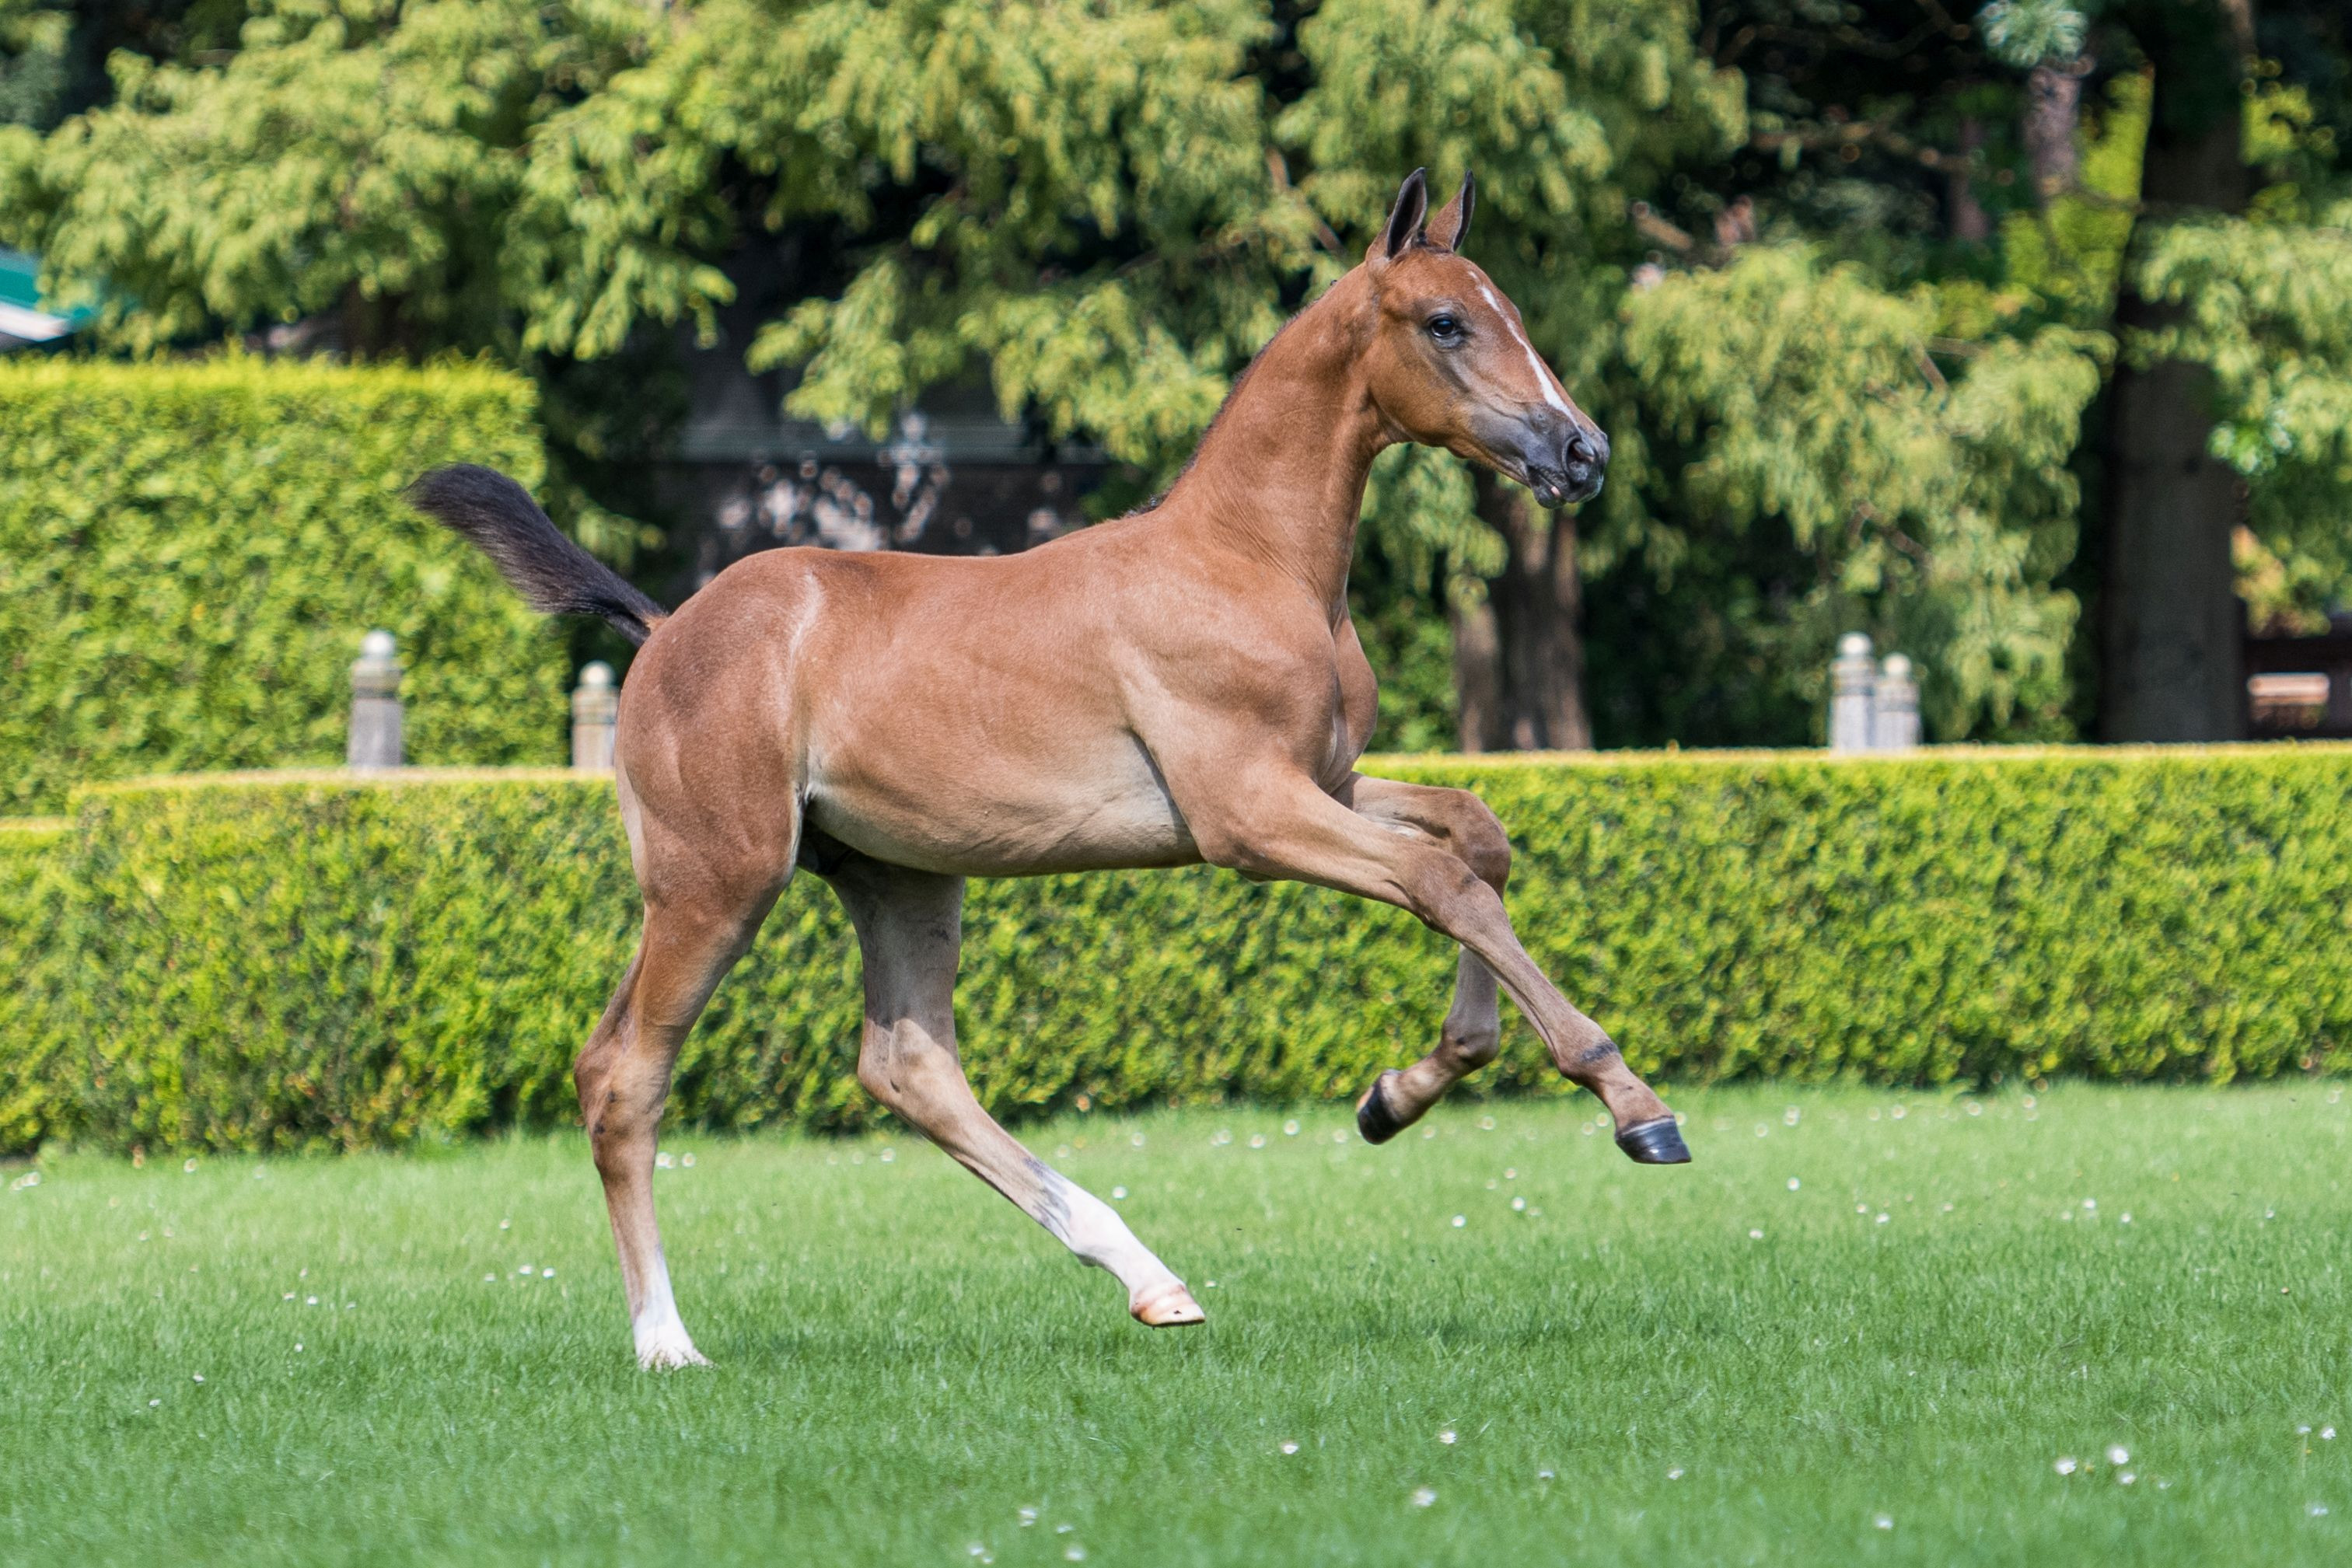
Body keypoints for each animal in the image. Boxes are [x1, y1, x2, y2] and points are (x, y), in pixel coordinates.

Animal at [409, 168, 1690, 1370]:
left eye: (1503, 309)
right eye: (1446, 322)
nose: (1580, 451)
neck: (1249, 560)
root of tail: (664, 624)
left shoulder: (1320, 785)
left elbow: (1476, 834)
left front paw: (1399, 1094)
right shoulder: (1247, 818)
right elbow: (1445, 884)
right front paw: (1633, 1106)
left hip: (898, 878)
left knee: (908, 1068)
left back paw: (1148, 1275)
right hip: (717, 880)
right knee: (624, 1074)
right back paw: (667, 1340)